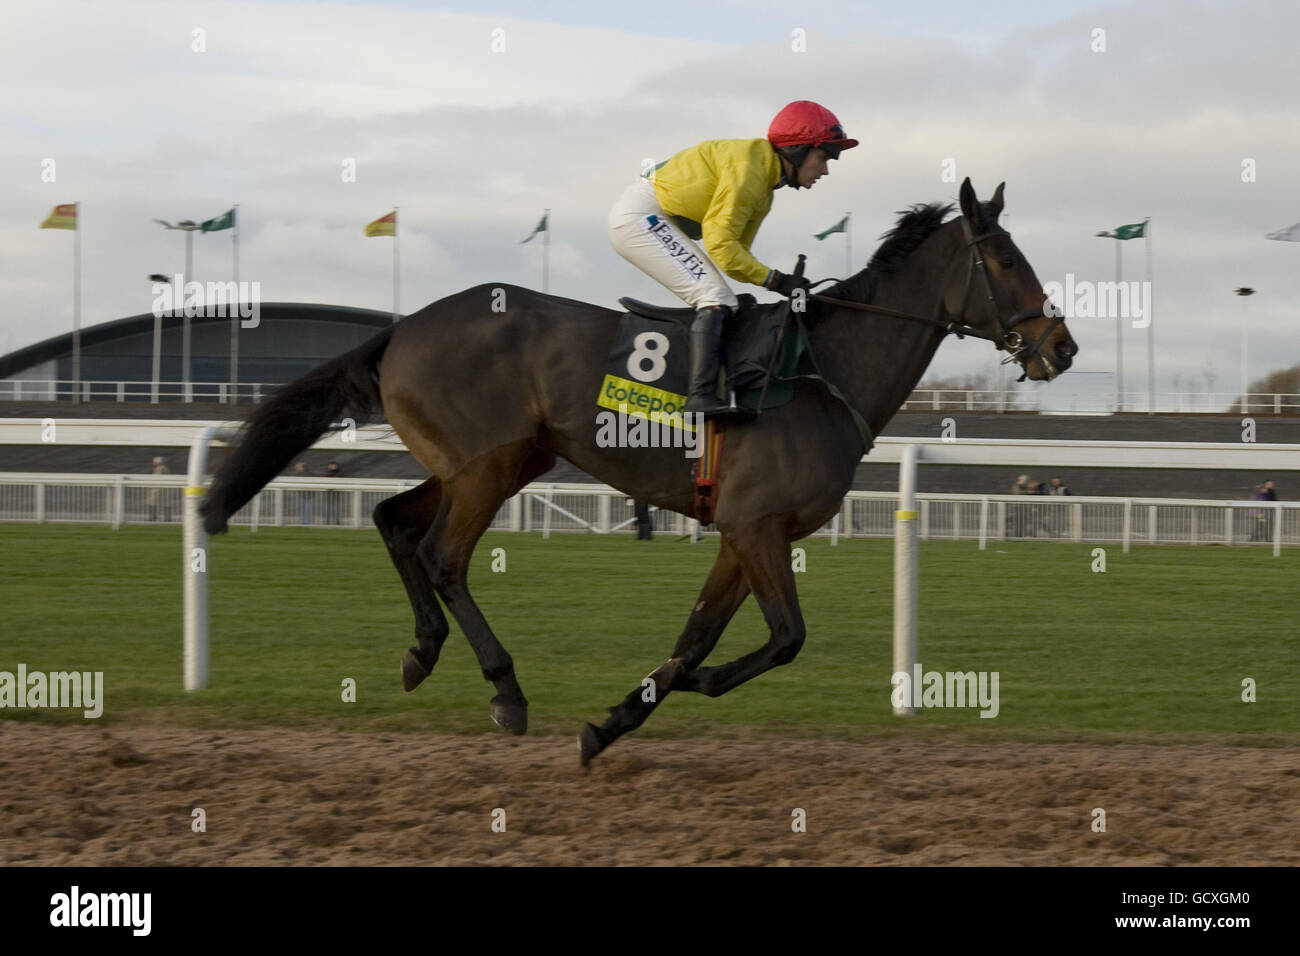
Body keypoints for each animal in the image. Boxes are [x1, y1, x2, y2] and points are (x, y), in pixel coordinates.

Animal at [202, 175, 1076, 764]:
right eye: (1003, 257)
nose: (1061, 346)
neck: (823, 372)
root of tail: (402, 328)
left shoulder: (741, 534)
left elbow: (699, 636)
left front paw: (617, 719)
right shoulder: (757, 527)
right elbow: (785, 638)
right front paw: (663, 694)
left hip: (493, 459)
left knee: (393, 521)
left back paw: (422, 653)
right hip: (488, 467)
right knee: (442, 556)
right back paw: (505, 690)